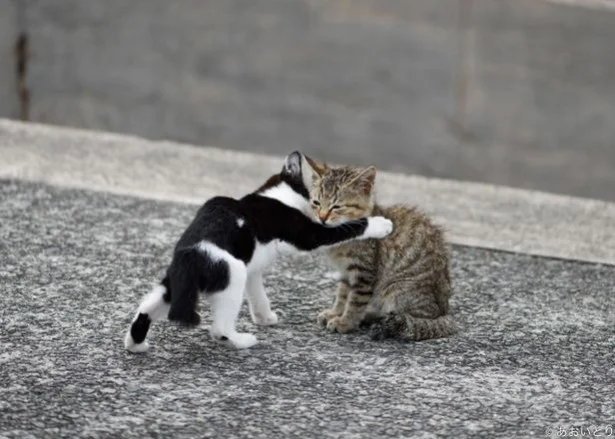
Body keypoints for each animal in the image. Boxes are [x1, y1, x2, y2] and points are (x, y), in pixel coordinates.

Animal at [124, 153, 394, 352]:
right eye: (315, 200)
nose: (320, 213)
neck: (272, 196)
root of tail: (189, 257)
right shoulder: (307, 233)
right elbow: (344, 229)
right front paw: (380, 224)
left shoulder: (252, 269)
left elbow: (257, 293)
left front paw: (264, 317)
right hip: (232, 276)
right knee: (219, 328)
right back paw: (242, 341)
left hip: (177, 283)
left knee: (147, 306)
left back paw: (135, 344)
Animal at [308, 156, 458, 342]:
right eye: (316, 203)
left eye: (336, 207)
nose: (322, 218)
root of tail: (445, 311)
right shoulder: (345, 272)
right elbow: (342, 294)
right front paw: (335, 312)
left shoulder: (364, 273)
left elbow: (355, 302)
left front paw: (345, 322)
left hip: (398, 290)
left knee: (411, 316)